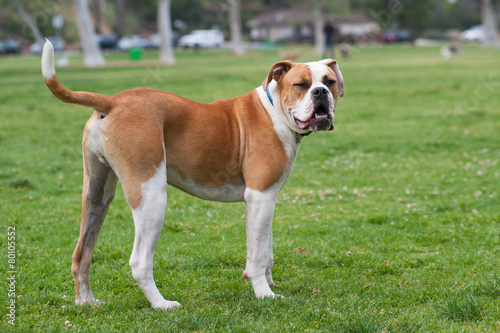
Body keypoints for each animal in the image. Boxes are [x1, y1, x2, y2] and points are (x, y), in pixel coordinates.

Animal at [41, 39, 344, 308]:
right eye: (301, 85)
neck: (274, 109)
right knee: (139, 262)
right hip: (151, 197)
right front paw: (264, 294)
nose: (320, 93)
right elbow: (258, 255)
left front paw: (267, 283)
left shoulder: (265, 200)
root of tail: (112, 102)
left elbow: (264, 249)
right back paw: (161, 304)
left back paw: (87, 301)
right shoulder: (259, 196)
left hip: (96, 196)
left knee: (82, 253)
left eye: (329, 81)